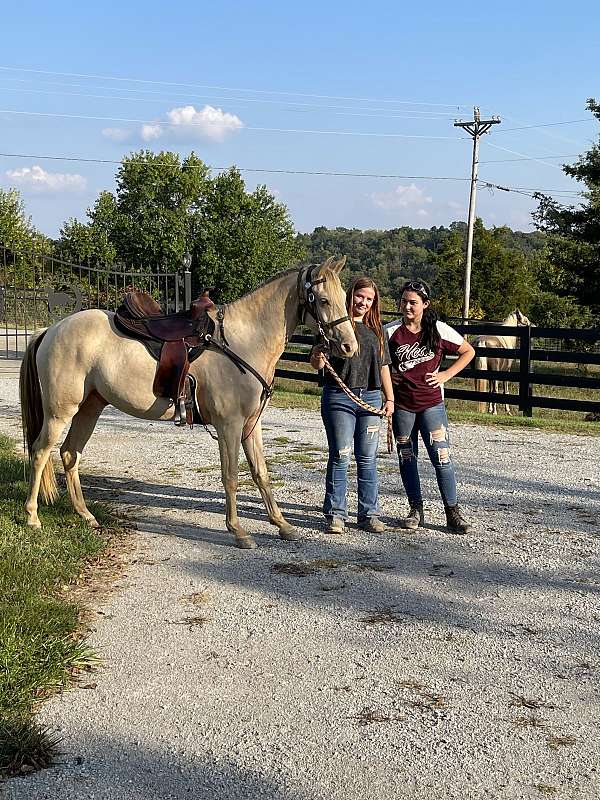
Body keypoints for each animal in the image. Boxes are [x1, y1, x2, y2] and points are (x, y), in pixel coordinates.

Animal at [18, 256, 356, 552]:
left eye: (343, 298)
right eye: (323, 301)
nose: (349, 347)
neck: (241, 342)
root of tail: (51, 330)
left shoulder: (251, 425)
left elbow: (260, 472)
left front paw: (282, 524)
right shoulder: (229, 426)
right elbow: (231, 477)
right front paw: (238, 532)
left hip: (90, 407)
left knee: (69, 454)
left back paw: (86, 515)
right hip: (60, 412)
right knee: (40, 452)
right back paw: (32, 517)